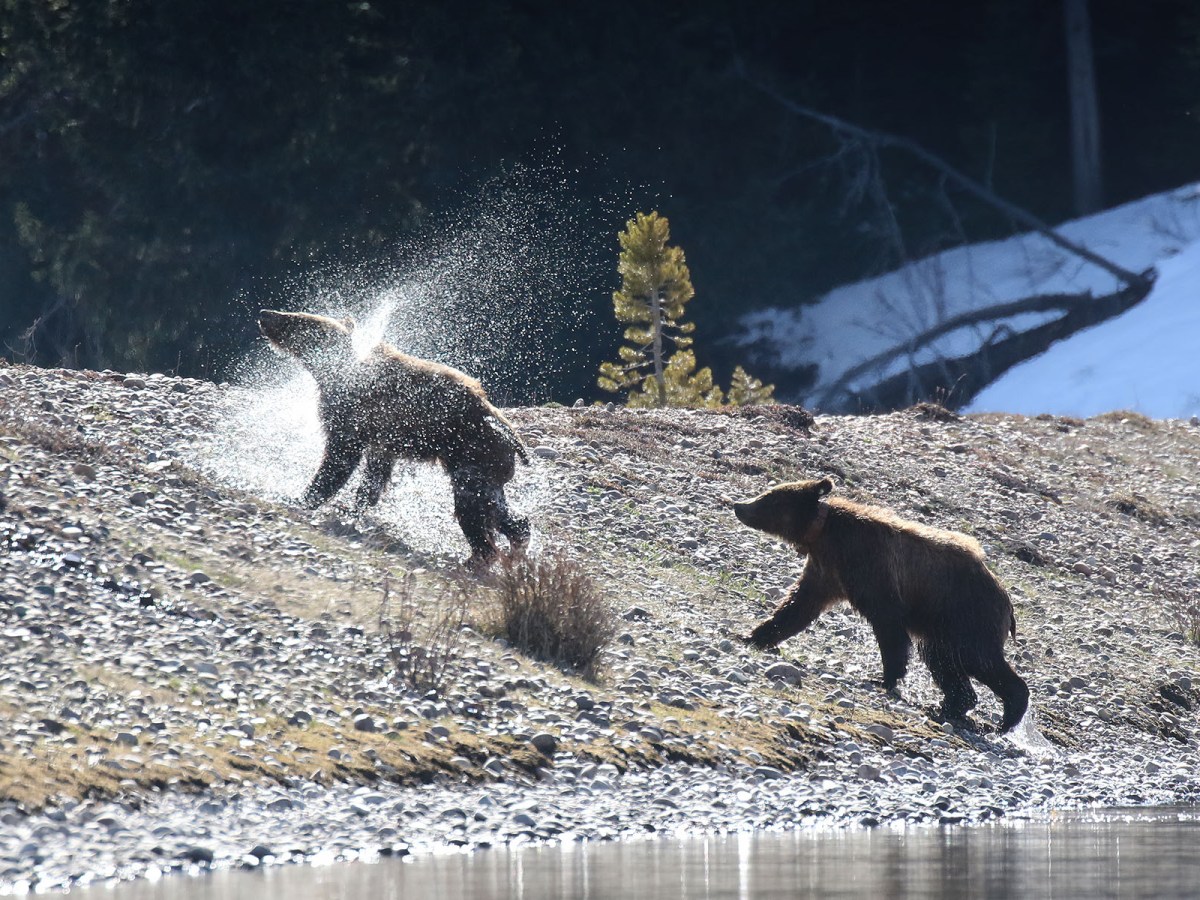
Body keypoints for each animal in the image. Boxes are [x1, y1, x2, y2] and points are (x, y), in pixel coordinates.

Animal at [258, 309, 530, 565]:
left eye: (295, 318)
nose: (265, 314)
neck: (334, 372)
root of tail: (509, 432)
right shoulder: (382, 440)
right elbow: (374, 477)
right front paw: (352, 509)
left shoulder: (352, 417)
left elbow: (338, 461)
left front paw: (303, 497)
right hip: (487, 467)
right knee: (497, 510)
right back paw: (516, 541)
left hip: (472, 455)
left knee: (472, 508)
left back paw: (477, 558)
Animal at [733, 477, 1029, 732]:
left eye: (769, 498)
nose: (739, 505)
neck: (824, 536)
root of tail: (1008, 602)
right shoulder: (826, 572)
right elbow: (796, 607)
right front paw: (752, 635)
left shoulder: (871, 568)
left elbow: (888, 625)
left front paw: (884, 678)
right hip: (942, 626)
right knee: (943, 661)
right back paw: (949, 705)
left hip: (967, 615)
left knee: (978, 658)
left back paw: (1008, 716)